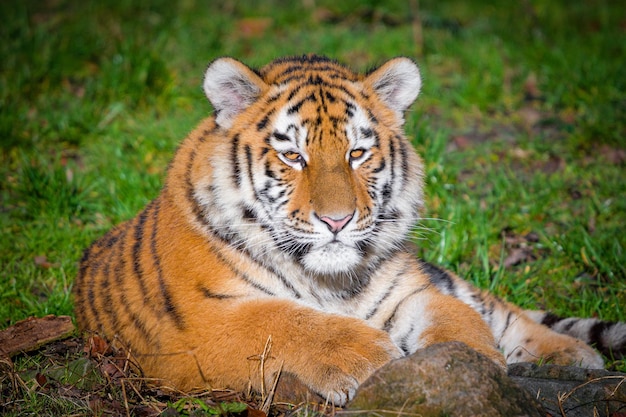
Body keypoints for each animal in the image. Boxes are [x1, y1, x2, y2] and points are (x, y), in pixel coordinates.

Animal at [74, 53, 624, 404]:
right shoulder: (197, 324)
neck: (330, 280)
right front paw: (375, 358)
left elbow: (459, 323)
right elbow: (283, 321)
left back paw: (575, 355)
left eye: (357, 153)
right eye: (293, 156)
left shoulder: (410, 290)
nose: (336, 220)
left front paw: (468, 369)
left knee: (502, 312)